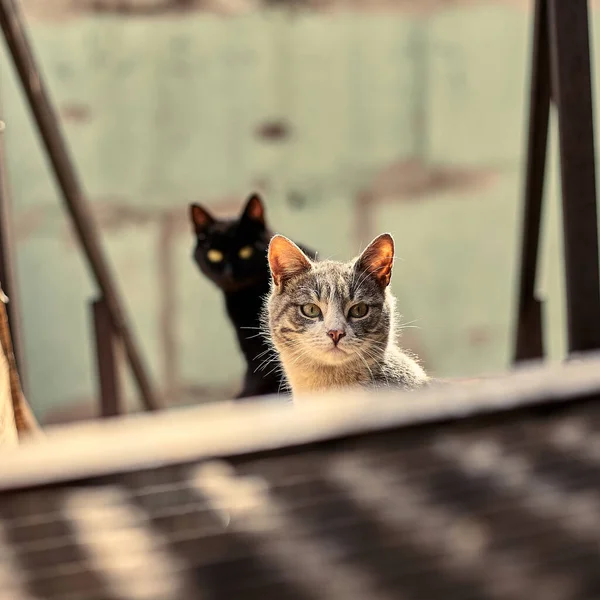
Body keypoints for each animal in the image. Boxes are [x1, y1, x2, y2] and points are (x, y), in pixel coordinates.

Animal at [190, 192, 316, 398]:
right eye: (215, 255)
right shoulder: (245, 335)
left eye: (245, 251)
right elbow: (255, 364)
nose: (230, 272)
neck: (247, 298)